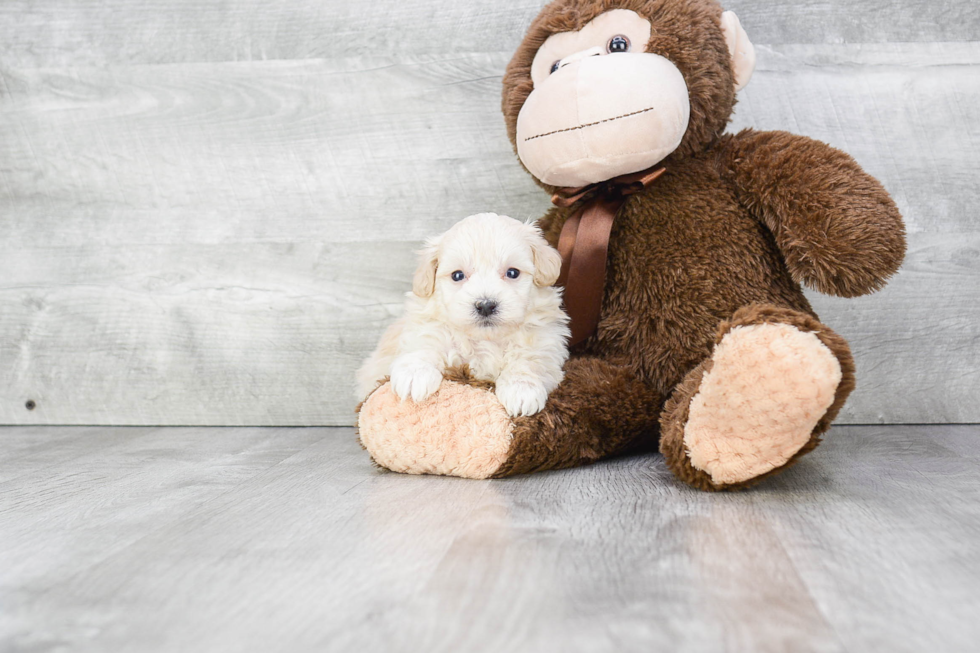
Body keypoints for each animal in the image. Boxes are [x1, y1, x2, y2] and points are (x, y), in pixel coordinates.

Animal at [356, 214, 572, 418]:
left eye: (512, 272)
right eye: (457, 275)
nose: (485, 305)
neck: (486, 339)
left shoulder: (545, 341)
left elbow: (530, 361)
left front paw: (521, 390)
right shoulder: (428, 328)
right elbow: (425, 344)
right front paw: (414, 375)